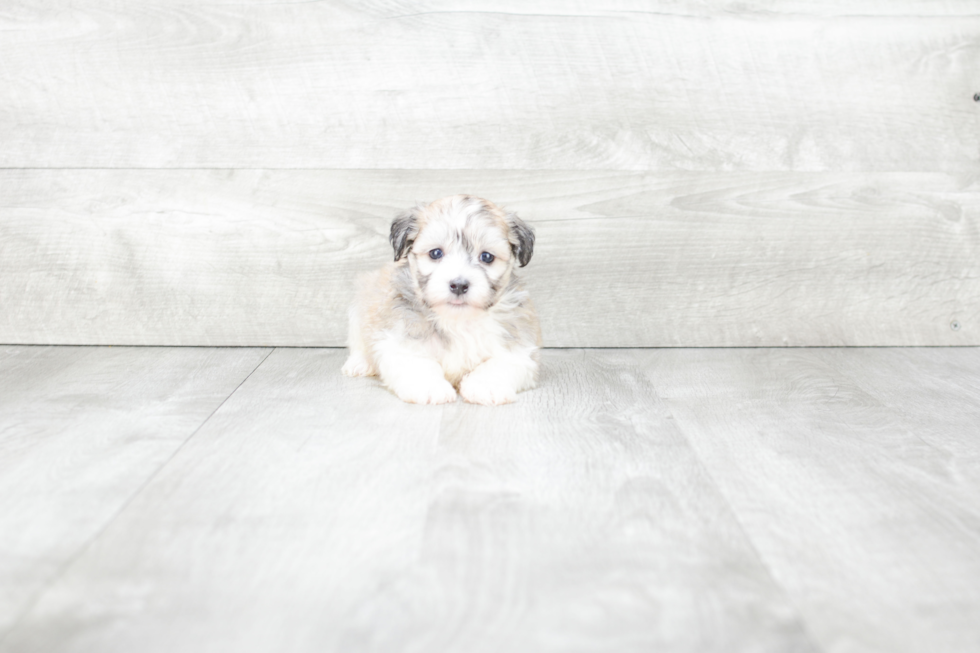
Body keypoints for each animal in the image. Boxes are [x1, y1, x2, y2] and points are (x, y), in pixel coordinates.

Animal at [342, 194, 544, 404]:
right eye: (436, 253)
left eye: (487, 257)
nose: (459, 285)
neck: (458, 320)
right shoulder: (400, 339)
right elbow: (416, 361)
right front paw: (430, 387)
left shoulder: (520, 348)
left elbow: (501, 363)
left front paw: (486, 385)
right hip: (359, 309)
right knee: (359, 342)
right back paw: (359, 363)